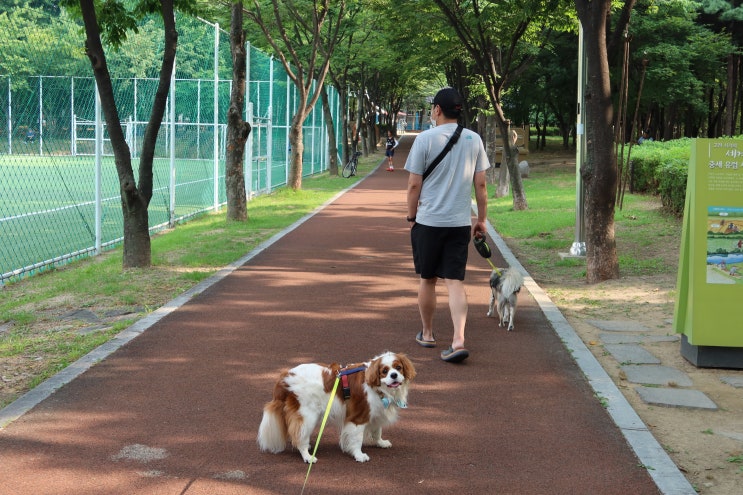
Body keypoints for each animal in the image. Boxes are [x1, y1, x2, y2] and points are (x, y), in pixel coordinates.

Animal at [258, 350, 416, 464]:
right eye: (384, 371)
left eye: (398, 368)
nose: (394, 375)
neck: (378, 387)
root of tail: (284, 377)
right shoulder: (358, 417)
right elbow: (357, 439)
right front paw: (359, 455)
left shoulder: (376, 413)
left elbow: (377, 431)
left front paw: (381, 443)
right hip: (308, 416)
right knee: (299, 436)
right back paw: (307, 456)